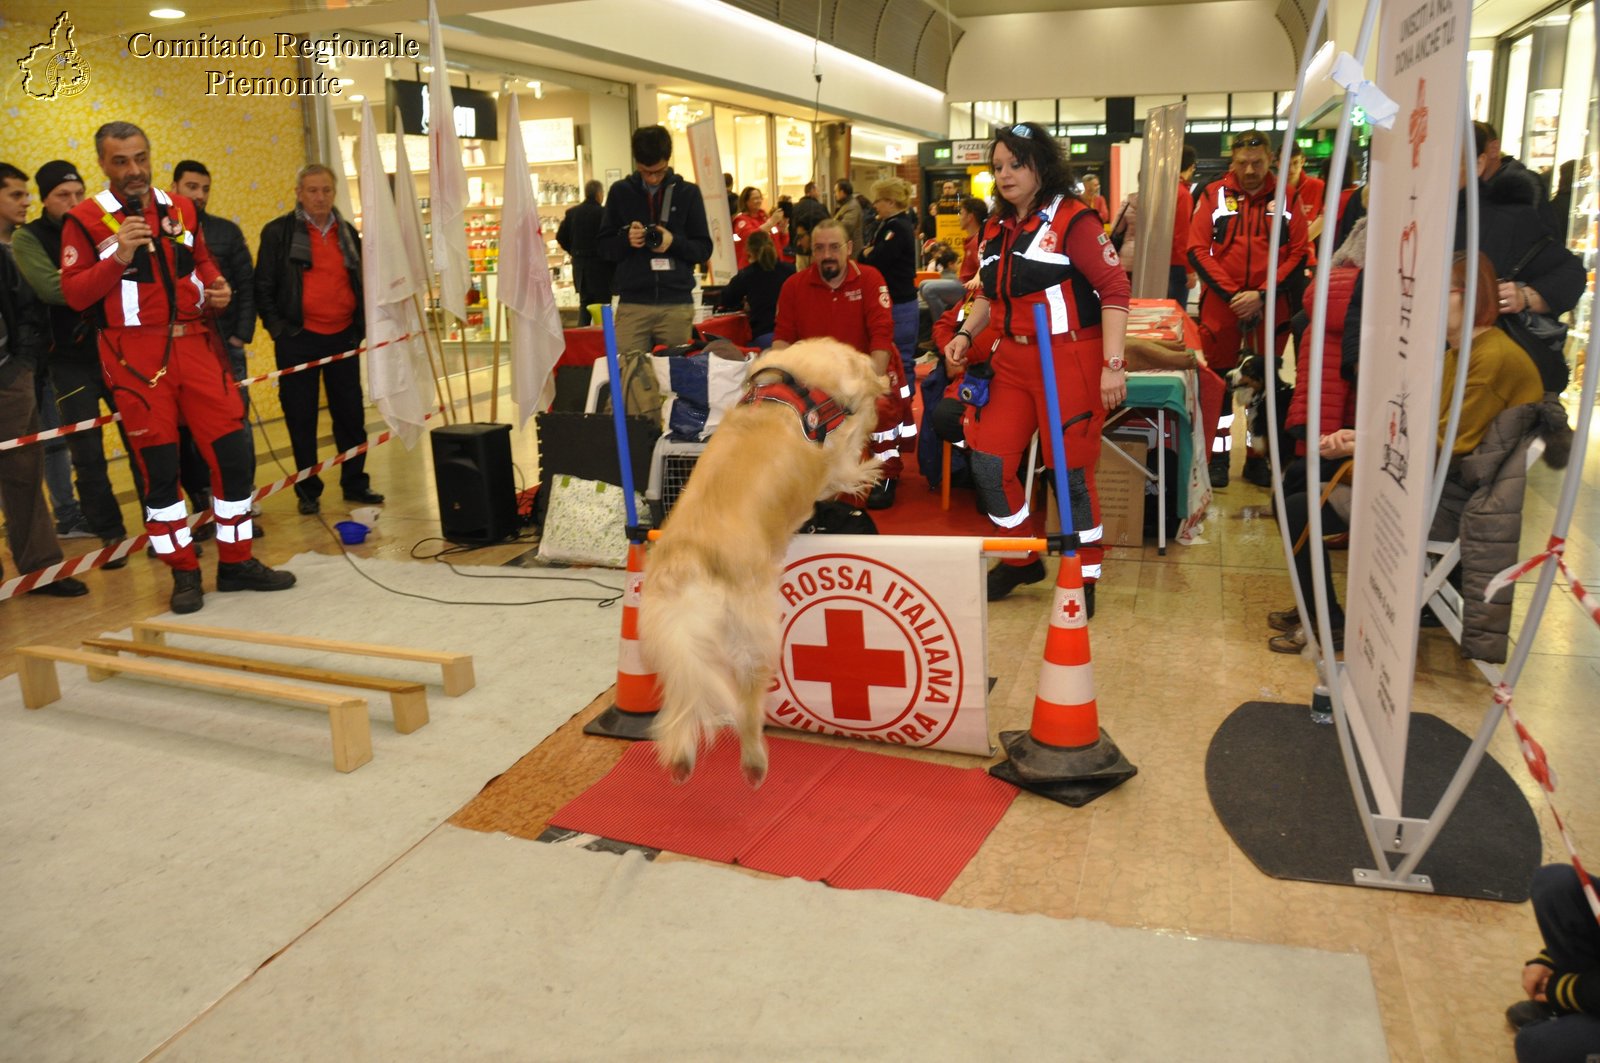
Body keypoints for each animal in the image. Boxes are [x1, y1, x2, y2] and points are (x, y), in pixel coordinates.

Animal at [636, 336, 889, 784]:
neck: (801, 384)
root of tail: (690, 556)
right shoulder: (837, 458)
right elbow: (848, 459)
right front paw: (873, 458)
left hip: (673, 634)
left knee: (684, 690)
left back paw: (682, 756)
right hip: (754, 629)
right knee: (746, 696)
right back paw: (754, 761)